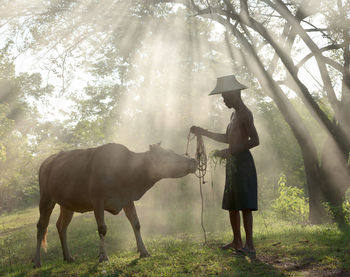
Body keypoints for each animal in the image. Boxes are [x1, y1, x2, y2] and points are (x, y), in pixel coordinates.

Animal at [32, 141, 197, 266]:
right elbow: (102, 229)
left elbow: (136, 224)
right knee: (41, 226)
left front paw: (144, 251)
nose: (193, 160)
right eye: (166, 154)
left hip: (67, 203)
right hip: (46, 197)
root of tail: (46, 162)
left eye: (171, 151)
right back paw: (37, 261)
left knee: (61, 225)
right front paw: (103, 256)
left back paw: (68, 257)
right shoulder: (97, 199)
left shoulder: (127, 199)